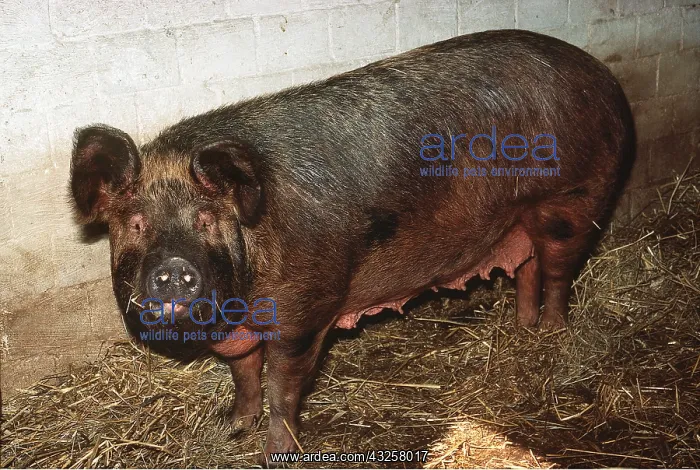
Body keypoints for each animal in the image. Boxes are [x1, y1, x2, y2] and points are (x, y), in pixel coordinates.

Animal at [69, 29, 634, 462]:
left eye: (207, 219)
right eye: (136, 223)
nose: (173, 267)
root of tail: (599, 73)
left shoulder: (305, 309)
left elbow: (282, 386)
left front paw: (277, 454)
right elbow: (243, 373)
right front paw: (234, 428)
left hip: (573, 199)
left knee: (557, 268)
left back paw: (552, 334)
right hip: (519, 218)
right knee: (528, 266)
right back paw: (524, 330)